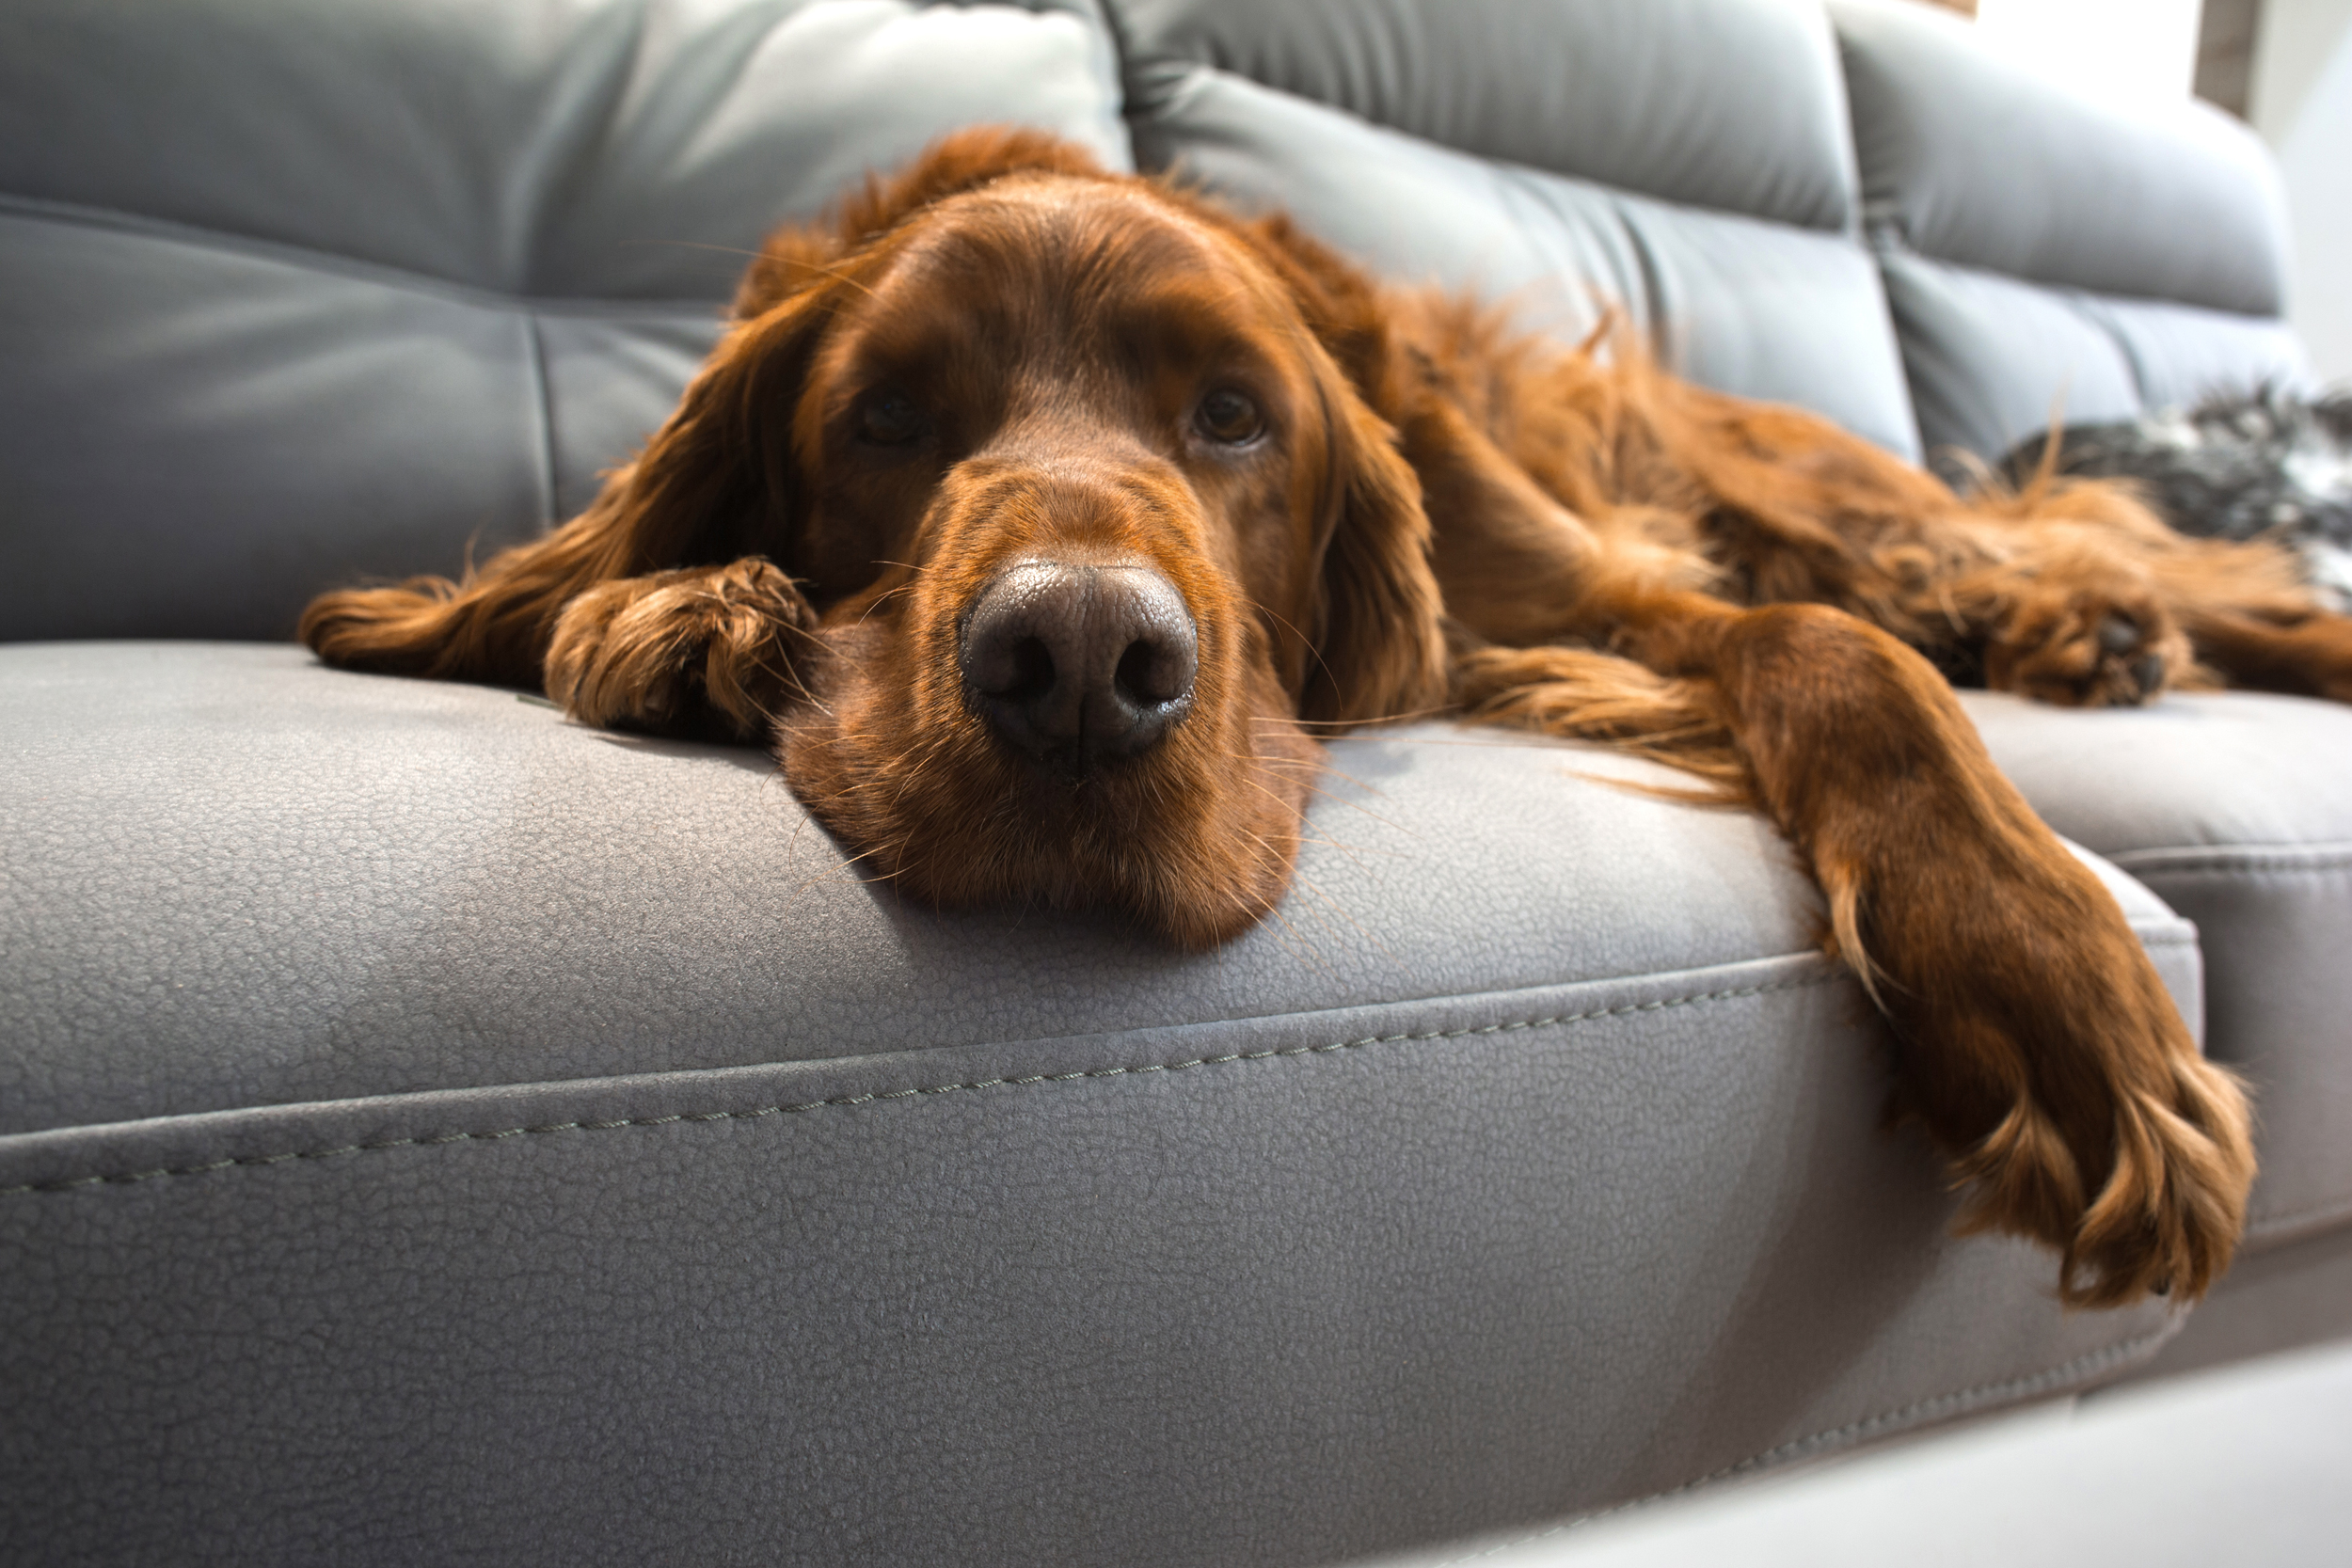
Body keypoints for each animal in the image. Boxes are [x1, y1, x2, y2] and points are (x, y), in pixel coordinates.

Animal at [303, 128, 2352, 1316]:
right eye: (884, 417)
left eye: (1233, 415)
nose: (1077, 667)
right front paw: (685, 610)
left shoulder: (1584, 593)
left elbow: (1833, 653)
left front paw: (2059, 1002)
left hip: (1800, 489)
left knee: (2036, 565)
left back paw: (2113, 622)